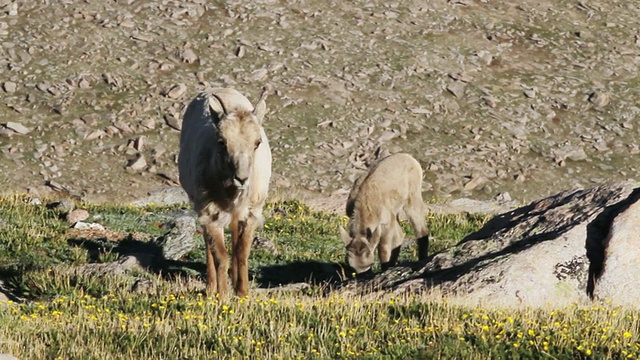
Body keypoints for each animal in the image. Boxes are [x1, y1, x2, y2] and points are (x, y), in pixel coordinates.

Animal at [178, 86, 272, 296]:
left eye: (257, 142)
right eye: (222, 141)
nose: (241, 178)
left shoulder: (252, 213)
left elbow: (242, 251)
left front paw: (243, 292)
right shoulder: (210, 211)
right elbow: (221, 256)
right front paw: (222, 295)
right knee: (208, 244)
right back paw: (211, 286)